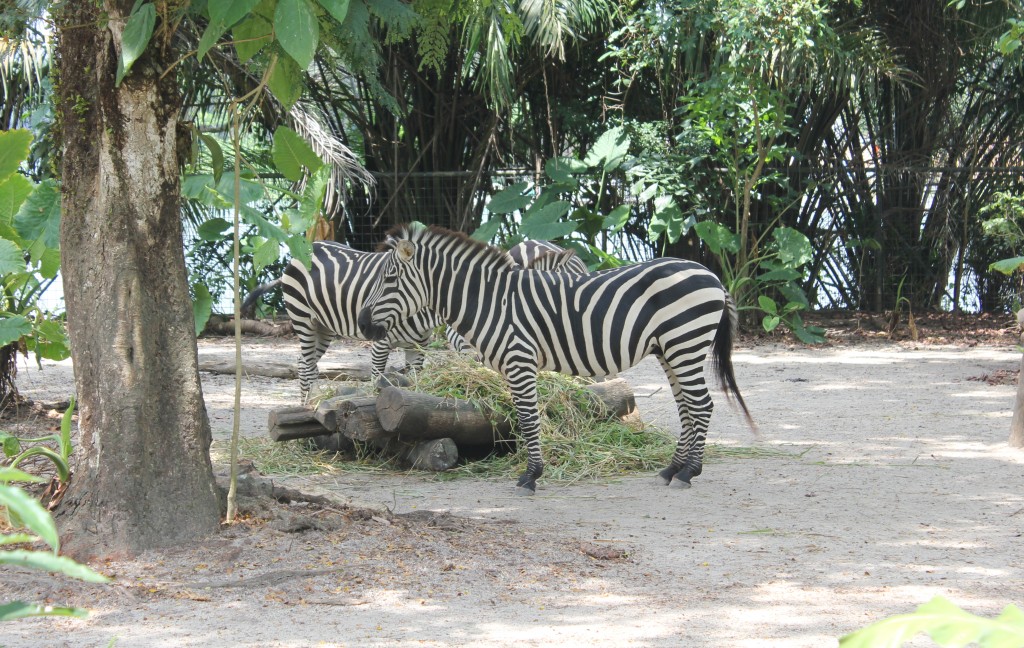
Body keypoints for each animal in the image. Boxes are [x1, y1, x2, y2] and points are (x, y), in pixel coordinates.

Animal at [242, 238, 589, 399]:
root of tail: (305, 247)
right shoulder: (381, 342)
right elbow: (377, 379)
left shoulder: (417, 347)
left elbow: (415, 383)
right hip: (303, 320)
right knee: (303, 366)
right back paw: (305, 405)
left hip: (324, 327)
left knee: (310, 365)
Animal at [358, 225, 753, 493]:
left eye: (390, 279)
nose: (362, 324)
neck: (490, 302)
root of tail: (712, 275)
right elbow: (520, 418)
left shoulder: (519, 360)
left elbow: (529, 419)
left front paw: (531, 475)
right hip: (671, 349)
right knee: (687, 407)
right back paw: (673, 469)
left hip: (685, 342)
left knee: (701, 405)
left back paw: (689, 472)